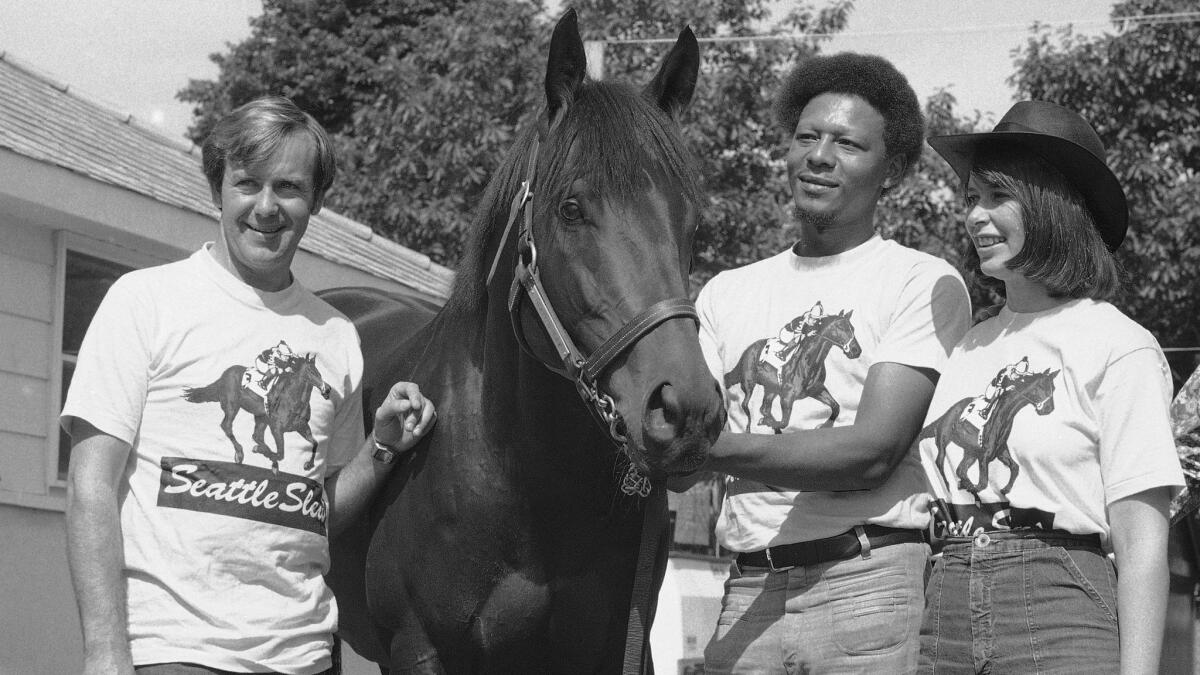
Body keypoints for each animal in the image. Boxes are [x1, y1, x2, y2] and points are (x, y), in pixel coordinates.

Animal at [178, 348, 328, 470]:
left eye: (319, 372)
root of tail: (224, 375)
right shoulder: (277, 428)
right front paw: (266, 456)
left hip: (260, 417)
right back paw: (240, 453)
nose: (327, 390)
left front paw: (308, 464)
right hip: (232, 406)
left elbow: (315, 443)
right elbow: (280, 454)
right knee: (227, 426)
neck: (293, 399)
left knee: (256, 435)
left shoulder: (301, 426)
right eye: (311, 371)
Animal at [720, 312, 864, 429]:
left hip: (771, 389)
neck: (808, 363)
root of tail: (748, 350)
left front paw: (823, 426)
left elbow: (836, 407)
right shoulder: (787, 397)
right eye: (840, 327)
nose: (856, 350)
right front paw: (767, 422)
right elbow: (784, 423)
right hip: (749, 383)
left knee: (764, 408)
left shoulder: (817, 390)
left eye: (853, 328)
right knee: (745, 405)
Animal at [916, 367, 1060, 494]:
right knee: (940, 461)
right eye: (1040, 386)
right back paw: (949, 485)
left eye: (1053, 388)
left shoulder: (1000, 452)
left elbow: (1015, 467)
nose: (1049, 408)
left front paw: (1005, 489)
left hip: (970, 452)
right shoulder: (984, 457)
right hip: (943, 439)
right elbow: (983, 484)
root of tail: (947, 413)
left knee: (961, 469)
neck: (1002, 417)